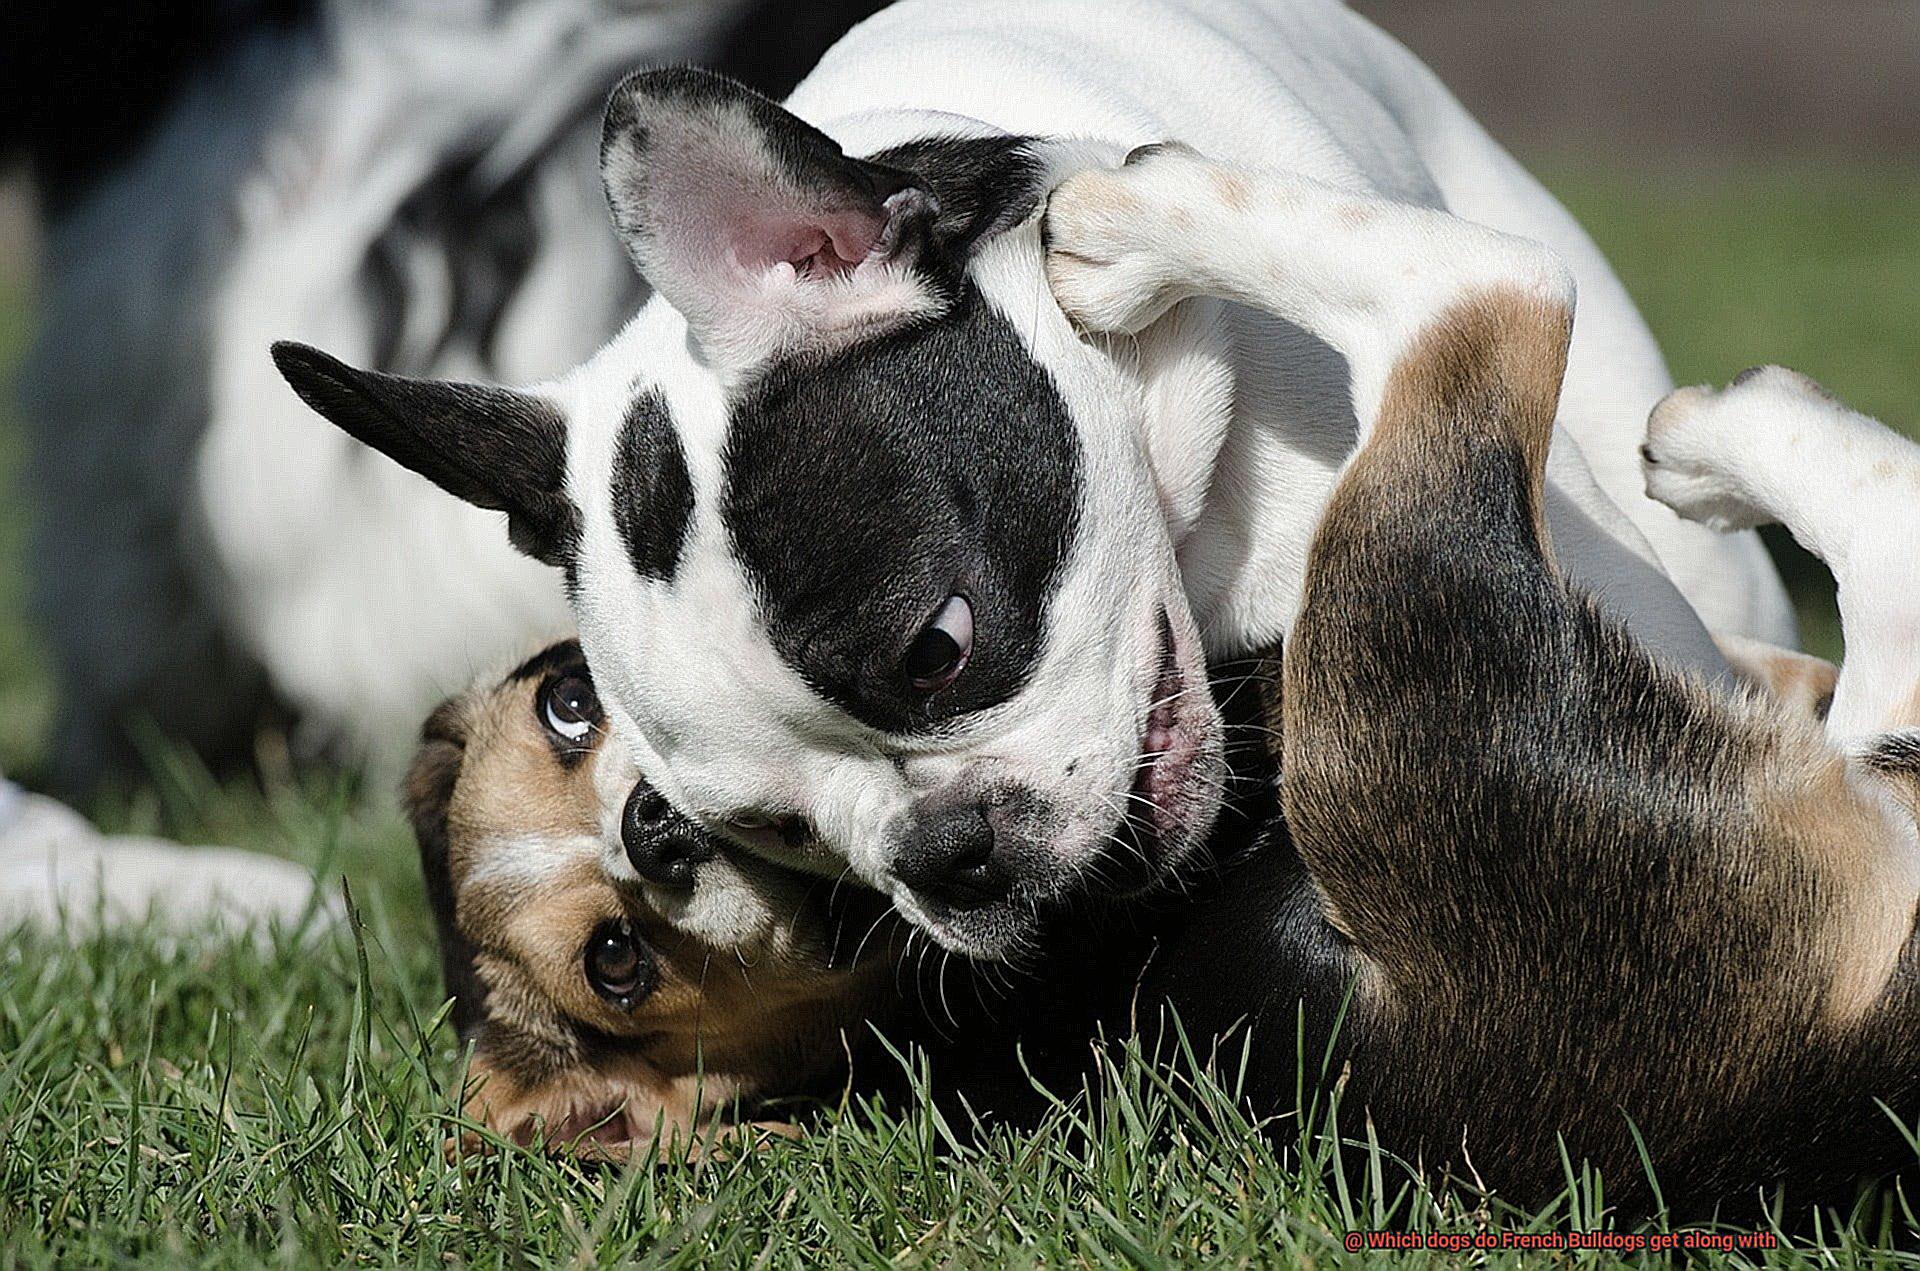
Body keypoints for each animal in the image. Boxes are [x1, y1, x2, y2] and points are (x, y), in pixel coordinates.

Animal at [416, 146, 1920, 1213]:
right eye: (616, 960)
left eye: (567, 700)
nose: (655, 827)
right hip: (1420, 668)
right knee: (1490, 301)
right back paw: (1130, 217)